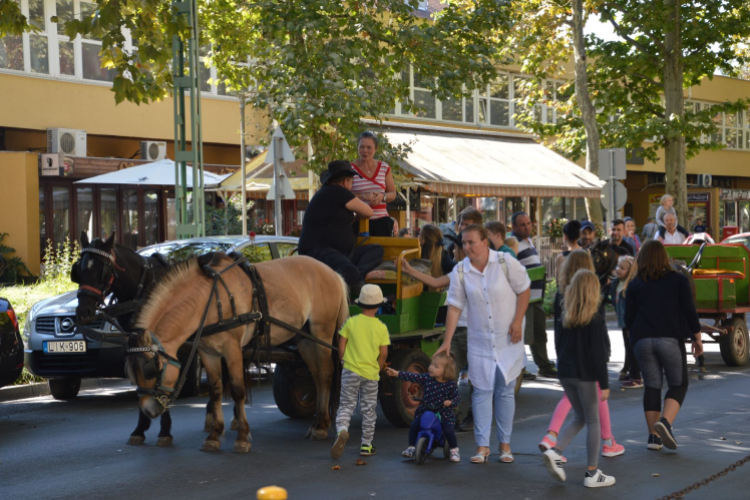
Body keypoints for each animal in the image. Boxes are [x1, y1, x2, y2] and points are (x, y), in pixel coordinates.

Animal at [130, 252, 350, 452]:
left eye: (151, 370)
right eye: (132, 373)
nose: (147, 410)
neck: (210, 300)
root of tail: (331, 272)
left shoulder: (233, 349)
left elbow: (237, 390)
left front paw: (242, 437)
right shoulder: (207, 352)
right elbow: (215, 391)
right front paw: (214, 435)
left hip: (322, 333)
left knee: (326, 374)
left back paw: (321, 426)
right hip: (305, 339)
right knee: (317, 377)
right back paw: (319, 422)